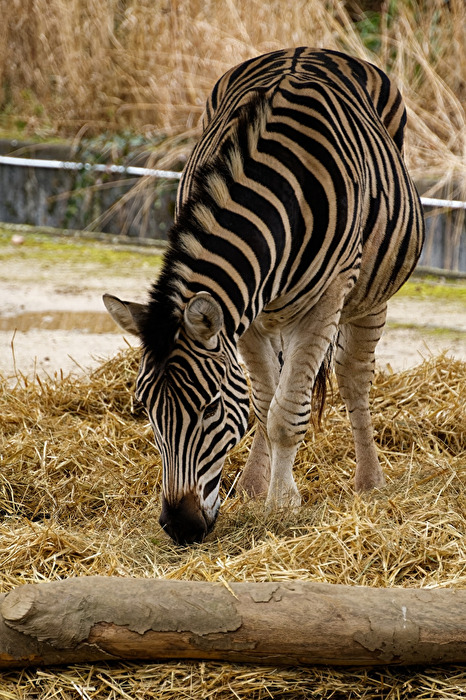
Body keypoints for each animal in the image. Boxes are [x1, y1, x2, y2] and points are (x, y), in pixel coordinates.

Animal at [103, 47, 424, 545]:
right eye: (146, 409)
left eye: (209, 407)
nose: (180, 527)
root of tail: (310, 47)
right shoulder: (247, 314)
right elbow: (261, 402)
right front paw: (261, 491)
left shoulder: (326, 299)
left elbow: (285, 413)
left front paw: (283, 506)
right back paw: (257, 481)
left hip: (369, 296)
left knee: (354, 377)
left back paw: (369, 483)